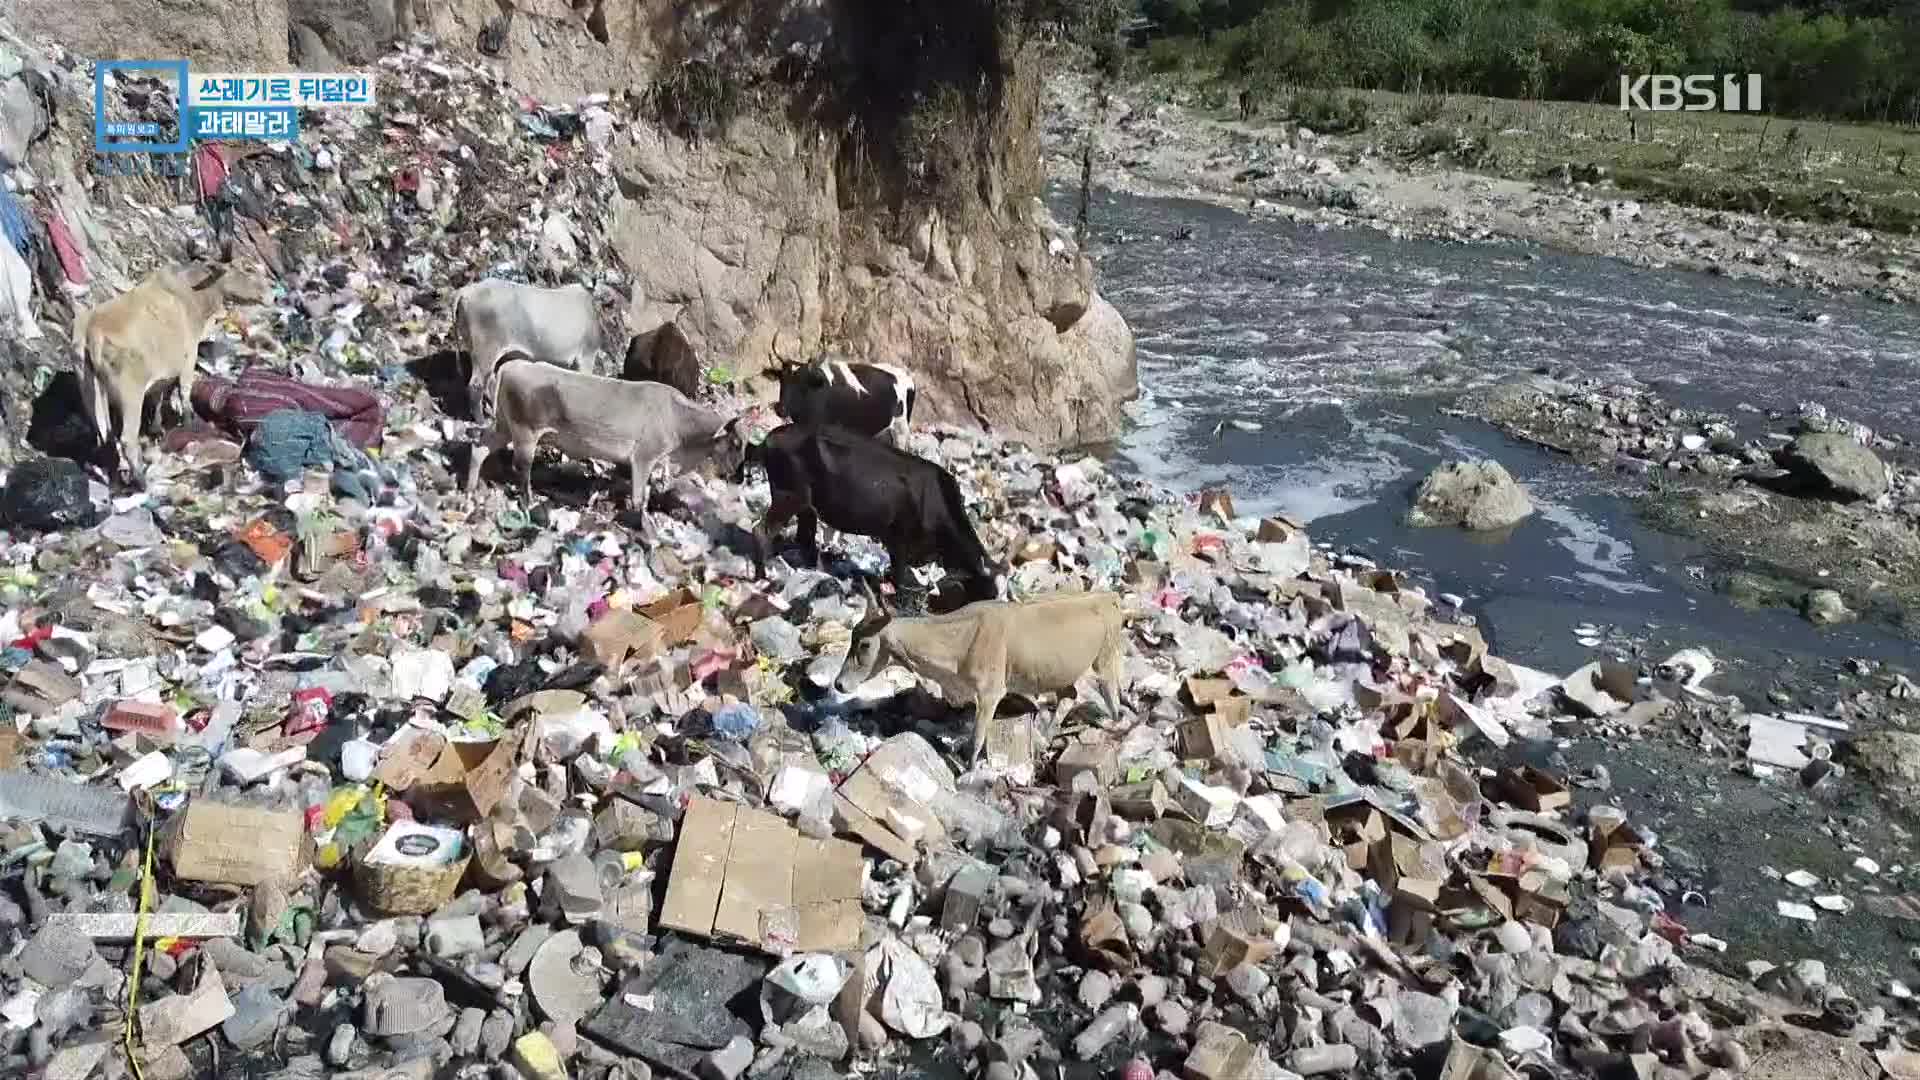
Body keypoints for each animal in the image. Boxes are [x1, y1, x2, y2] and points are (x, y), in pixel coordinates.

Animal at [74, 255, 276, 484]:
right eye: (248, 269)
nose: (272, 296)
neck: (191, 293)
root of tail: (93, 331)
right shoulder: (189, 357)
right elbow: (184, 393)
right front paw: (188, 425)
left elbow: (158, 396)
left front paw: (157, 428)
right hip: (130, 393)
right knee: (127, 438)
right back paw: (140, 480)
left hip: (89, 390)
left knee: (104, 436)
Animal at [752, 420, 1006, 599]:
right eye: (989, 589)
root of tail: (771, 437)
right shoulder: (898, 538)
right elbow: (900, 575)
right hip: (788, 496)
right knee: (761, 531)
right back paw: (764, 577)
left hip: (806, 506)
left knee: (804, 537)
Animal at [837, 584, 1128, 760]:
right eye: (852, 636)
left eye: (865, 644)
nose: (838, 684)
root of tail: (1108, 596)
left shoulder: (990, 694)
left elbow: (977, 739)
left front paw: (969, 771)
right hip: (1061, 674)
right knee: (1069, 696)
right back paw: (1046, 736)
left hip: (1105, 661)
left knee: (1113, 703)